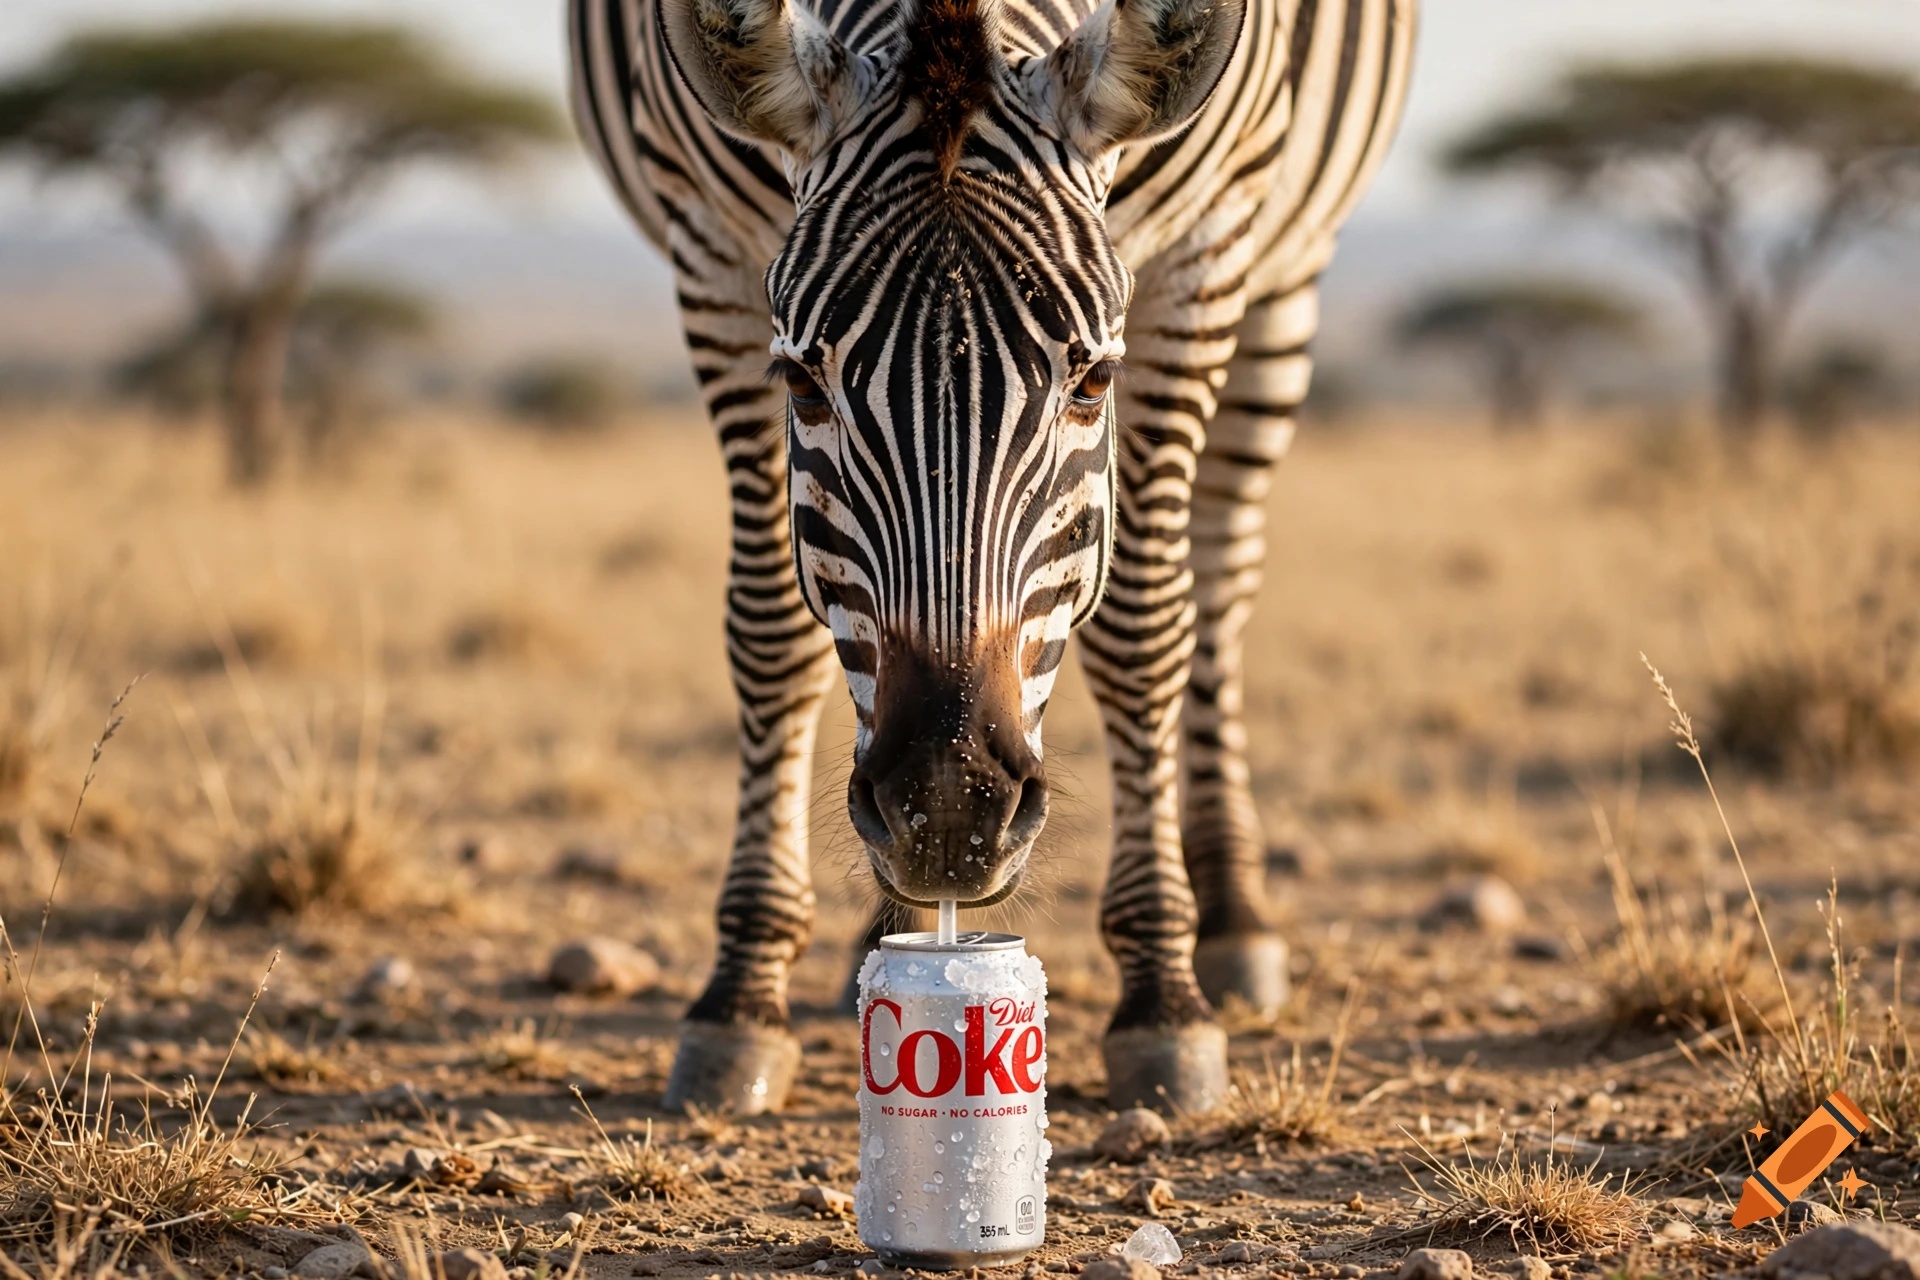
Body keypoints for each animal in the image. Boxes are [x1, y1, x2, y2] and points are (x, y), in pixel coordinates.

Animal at [570, 0, 1415, 1113]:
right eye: (801, 383)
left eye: (1095, 380)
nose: (947, 810)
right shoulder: (707, 236)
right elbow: (769, 629)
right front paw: (743, 990)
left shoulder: (1206, 240)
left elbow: (1147, 625)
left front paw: (1161, 992)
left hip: (1286, 275)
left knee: (1221, 578)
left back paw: (1230, 916)